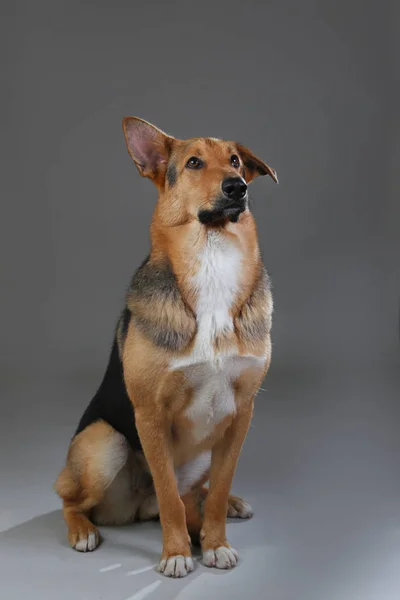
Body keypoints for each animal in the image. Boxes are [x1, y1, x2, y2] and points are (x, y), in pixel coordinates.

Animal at [54, 117, 276, 576]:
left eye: (235, 161)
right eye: (193, 163)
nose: (238, 187)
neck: (212, 259)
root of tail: (138, 508)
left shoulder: (242, 413)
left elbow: (216, 487)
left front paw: (214, 542)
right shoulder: (150, 414)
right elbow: (170, 496)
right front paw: (176, 552)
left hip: (211, 443)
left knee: (198, 492)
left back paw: (226, 506)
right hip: (104, 443)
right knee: (73, 498)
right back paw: (82, 530)